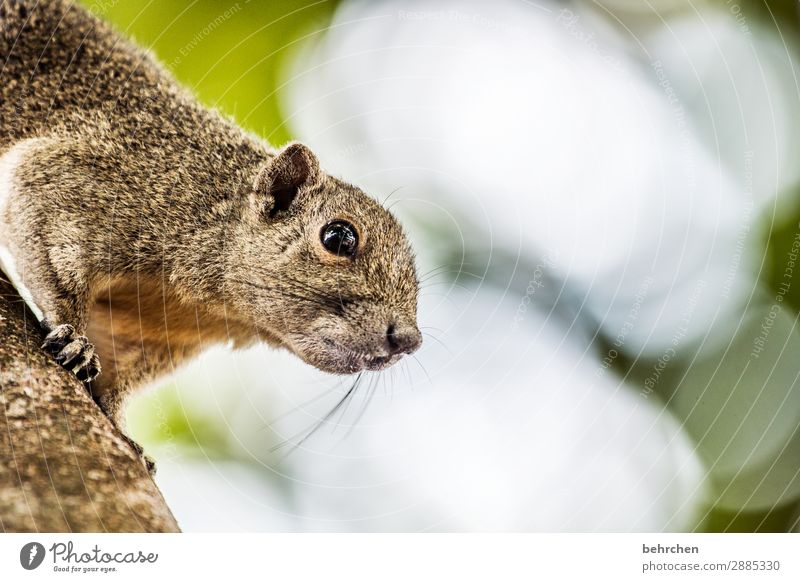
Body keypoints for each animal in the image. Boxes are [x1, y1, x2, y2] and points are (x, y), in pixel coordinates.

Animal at [0, 0, 422, 468]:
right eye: (339, 238)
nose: (409, 340)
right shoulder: (91, 182)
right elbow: (44, 224)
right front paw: (73, 337)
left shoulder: (150, 334)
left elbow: (117, 371)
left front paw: (120, 424)